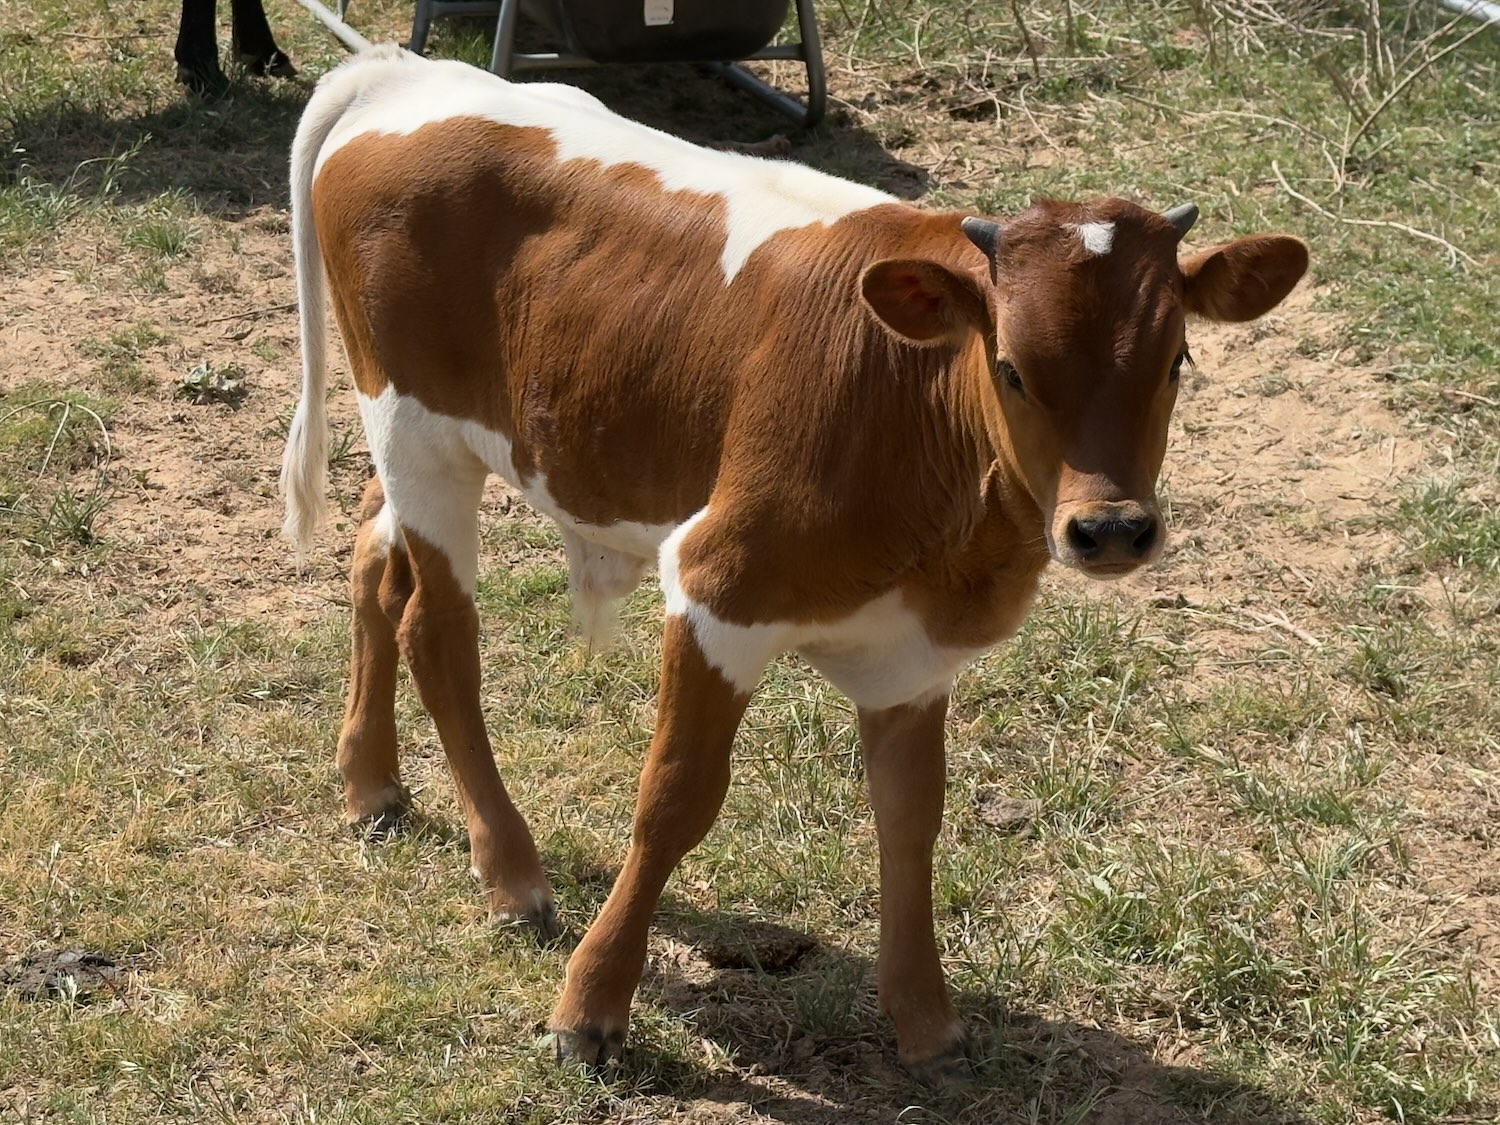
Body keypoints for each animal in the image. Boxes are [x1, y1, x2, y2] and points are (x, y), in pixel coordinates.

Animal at [280, 45, 1308, 1075]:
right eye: (1012, 367)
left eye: (1176, 360)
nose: (1112, 529)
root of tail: (402, 74)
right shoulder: (719, 586)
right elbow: (675, 799)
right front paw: (591, 1004)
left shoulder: (915, 650)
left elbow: (912, 814)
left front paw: (923, 1014)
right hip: (416, 430)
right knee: (438, 630)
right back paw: (513, 872)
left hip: (410, 448)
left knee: (373, 564)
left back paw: (370, 782)